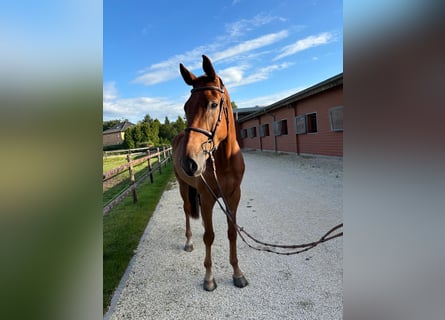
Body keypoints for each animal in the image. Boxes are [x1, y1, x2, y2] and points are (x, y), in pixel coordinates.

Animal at [172, 55, 248, 290]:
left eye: (213, 104)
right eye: (186, 107)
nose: (189, 162)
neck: (223, 161)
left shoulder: (233, 196)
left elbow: (231, 232)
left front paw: (237, 273)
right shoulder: (206, 197)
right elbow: (209, 236)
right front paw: (209, 277)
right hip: (183, 186)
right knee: (187, 210)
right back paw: (188, 241)